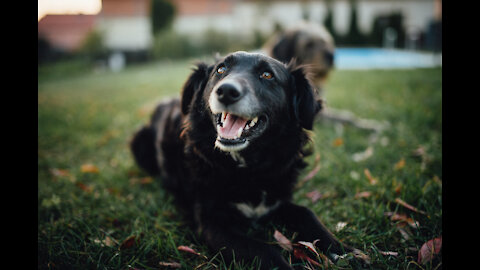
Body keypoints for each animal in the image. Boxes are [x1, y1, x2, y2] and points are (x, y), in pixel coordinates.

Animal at [129, 51, 370, 268]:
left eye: (267, 75)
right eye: (221, 70)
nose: (226, 91)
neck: (248, 168)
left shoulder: (277, 201)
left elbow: (307, 214)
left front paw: (344, 251)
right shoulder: (212, 223)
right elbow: (263, 249)